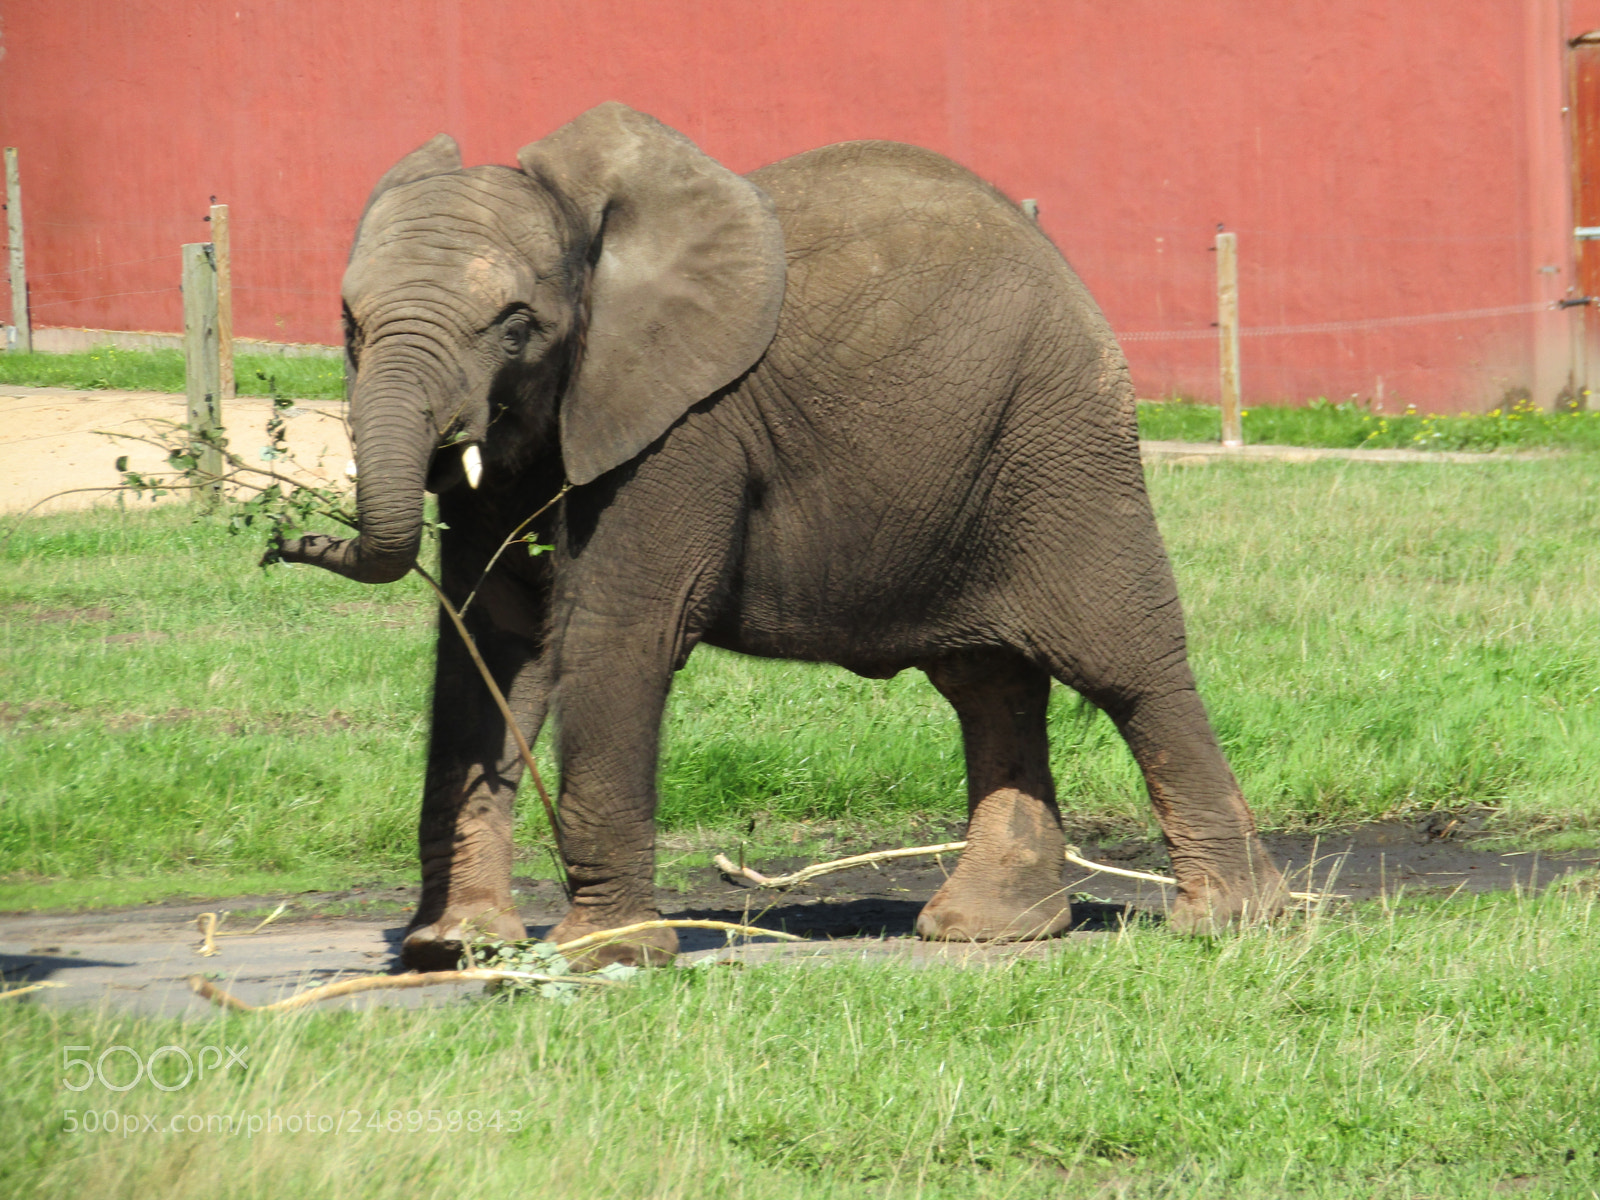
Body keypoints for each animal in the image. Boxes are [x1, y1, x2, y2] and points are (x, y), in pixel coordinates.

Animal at [281, 102, 1284, 969]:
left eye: (516, 326)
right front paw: (453, 949)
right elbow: (487, 643)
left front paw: (603, 958)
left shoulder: (685, 426)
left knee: (1125, 663)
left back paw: (1229, 922)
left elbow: (614, 632)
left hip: (1065, 441)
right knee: (988, 684)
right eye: (349, 325)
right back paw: (989, 931)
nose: (287, 546)